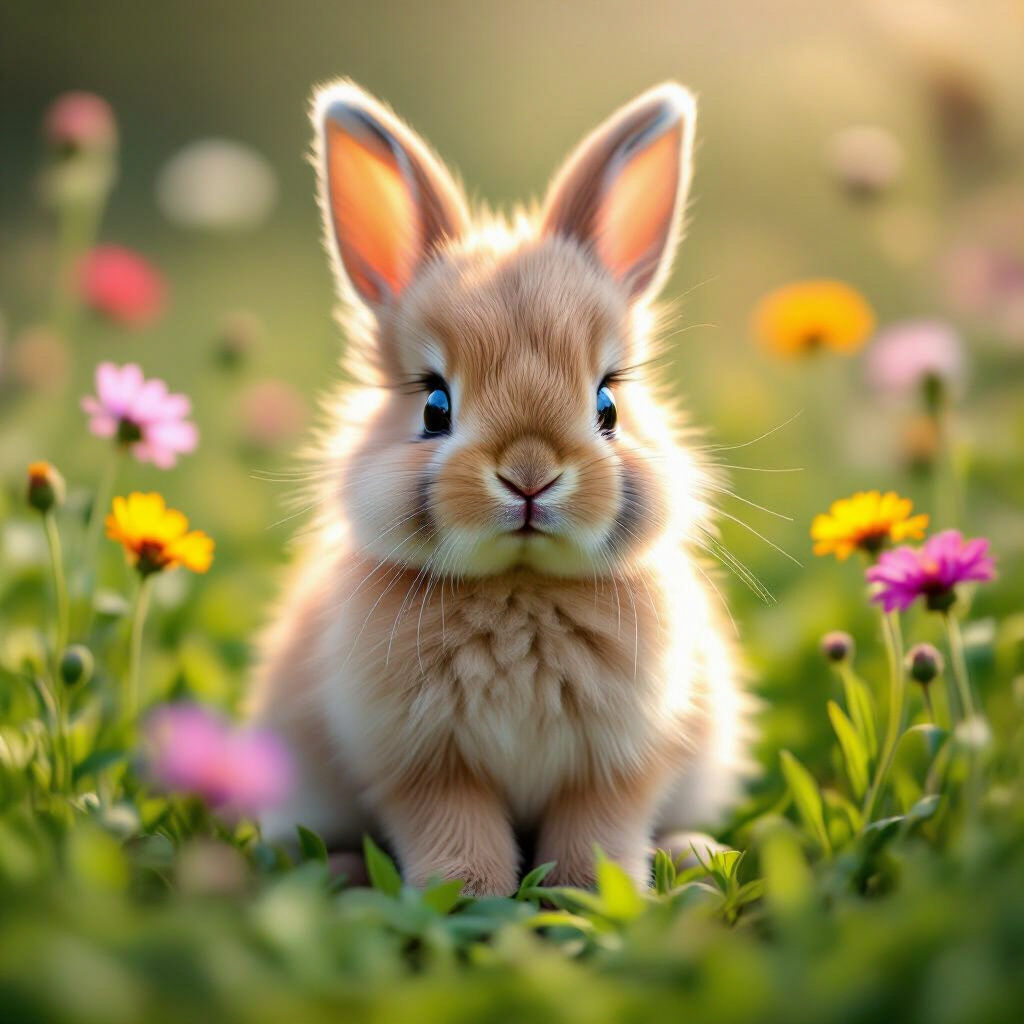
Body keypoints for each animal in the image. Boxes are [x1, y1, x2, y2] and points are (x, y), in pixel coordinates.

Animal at [248, 79, 754, 895]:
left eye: (608, 405)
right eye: (434, 405)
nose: (529, 474)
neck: (520, 585)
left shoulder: (617, 765)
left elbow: (596, 831)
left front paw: (594, 895)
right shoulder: (424, 765)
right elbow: (456, 831)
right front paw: (466, 896)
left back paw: (695, 858)